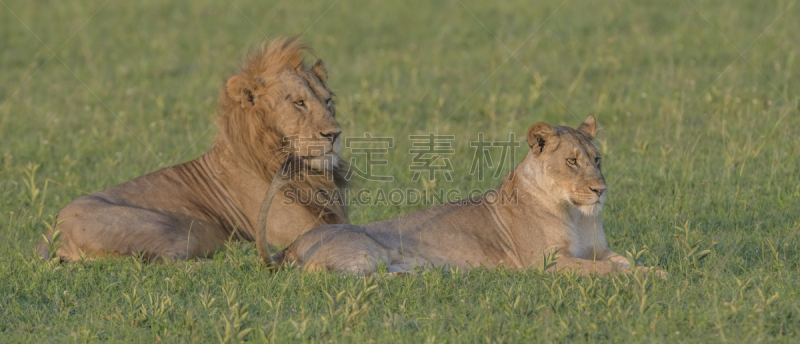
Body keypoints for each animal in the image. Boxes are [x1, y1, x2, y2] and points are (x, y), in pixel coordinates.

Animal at [39, 37, 346, 262]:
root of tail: (52, 235)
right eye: (299, 103)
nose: (334, 134)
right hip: (171, 229)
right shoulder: (302, 232)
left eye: (327, 101)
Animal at [268, 116, 656, 276]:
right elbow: (608, 270)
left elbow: (622, 261)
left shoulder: (599, 249)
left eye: (597, 160)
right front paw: (649, 277)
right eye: (572, 161)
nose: (600, 190)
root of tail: (289, 249)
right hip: (368, 253)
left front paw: (656, 271)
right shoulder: (545, 262)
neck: (577, 214)